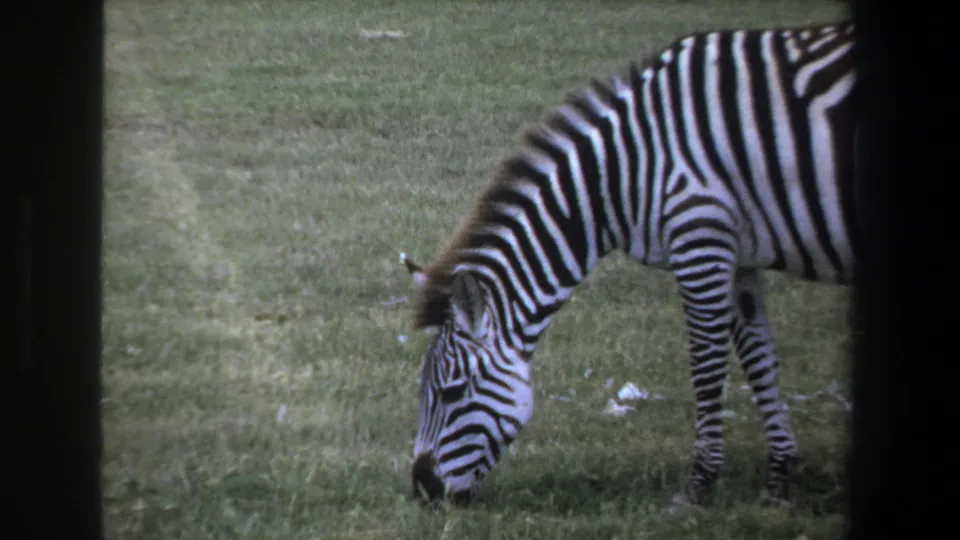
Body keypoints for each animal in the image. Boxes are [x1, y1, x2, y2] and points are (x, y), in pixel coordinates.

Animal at [402, 20, 857, 509]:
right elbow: (759, 361)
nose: (423, 489)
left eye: (451, 392)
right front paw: (779, 477)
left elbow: (706, 365)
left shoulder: (700, 238)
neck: (623, 173)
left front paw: (699, 484)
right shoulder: (739, 257)